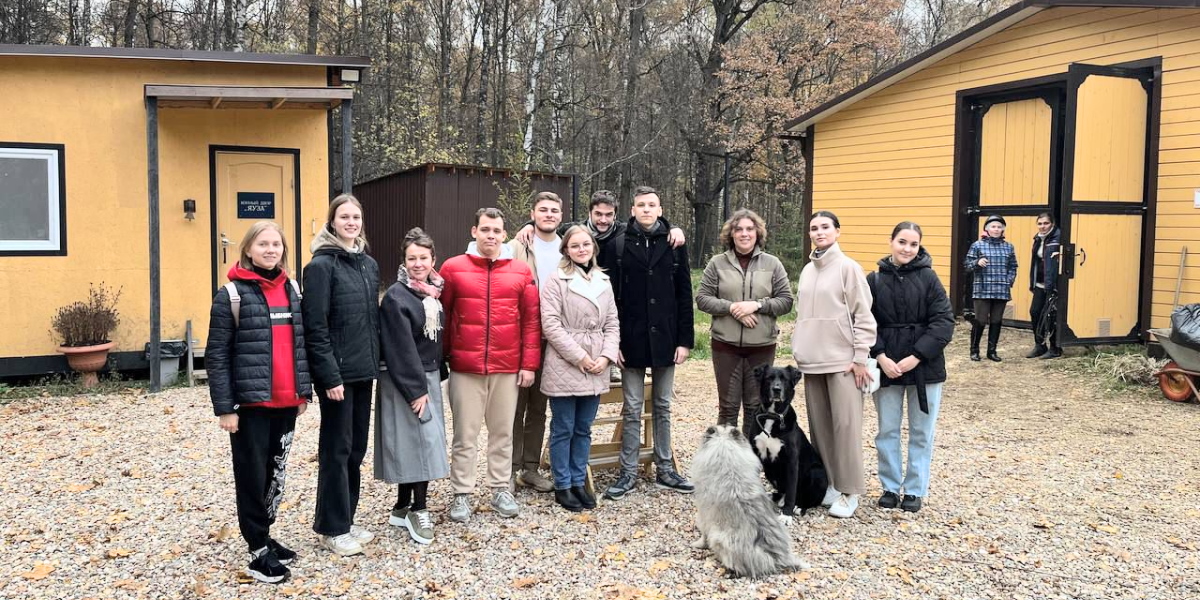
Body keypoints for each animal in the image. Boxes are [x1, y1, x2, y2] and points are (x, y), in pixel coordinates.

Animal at [753, 362, 830, 523]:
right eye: (769, 378)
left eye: (785, 380)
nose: (776, 389)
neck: (773, 416)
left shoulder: (791, 461)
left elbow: (791, 491)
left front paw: (786, 514)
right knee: (782, 492)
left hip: (817, 473)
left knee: (809, 500)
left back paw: (799, 507)